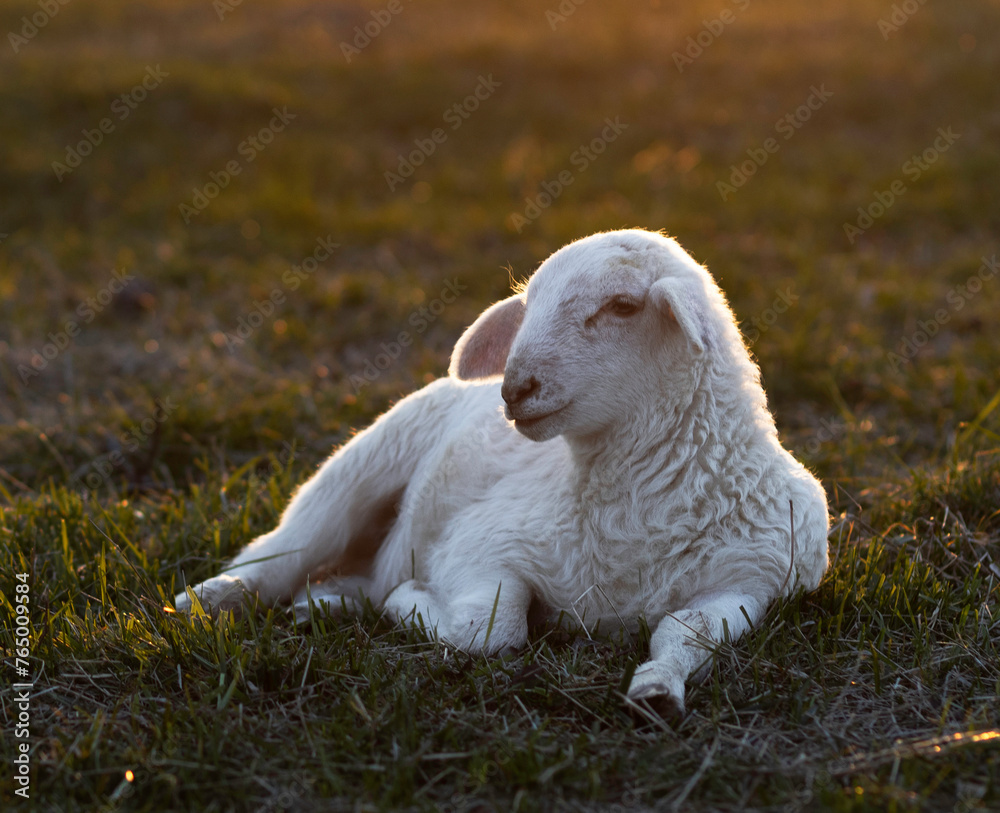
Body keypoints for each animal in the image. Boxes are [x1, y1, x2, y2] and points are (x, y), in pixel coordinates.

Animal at [172, 228, 830, 719]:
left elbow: (683, 635)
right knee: (285, 548)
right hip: (363, 466)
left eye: (623, 305)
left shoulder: (745, 587)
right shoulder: (481, 546)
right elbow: (493, 630)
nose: (514, 389)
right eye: (528, 305)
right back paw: (209, 598)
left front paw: (658, 690)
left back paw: (327, 605)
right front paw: (411, 602)